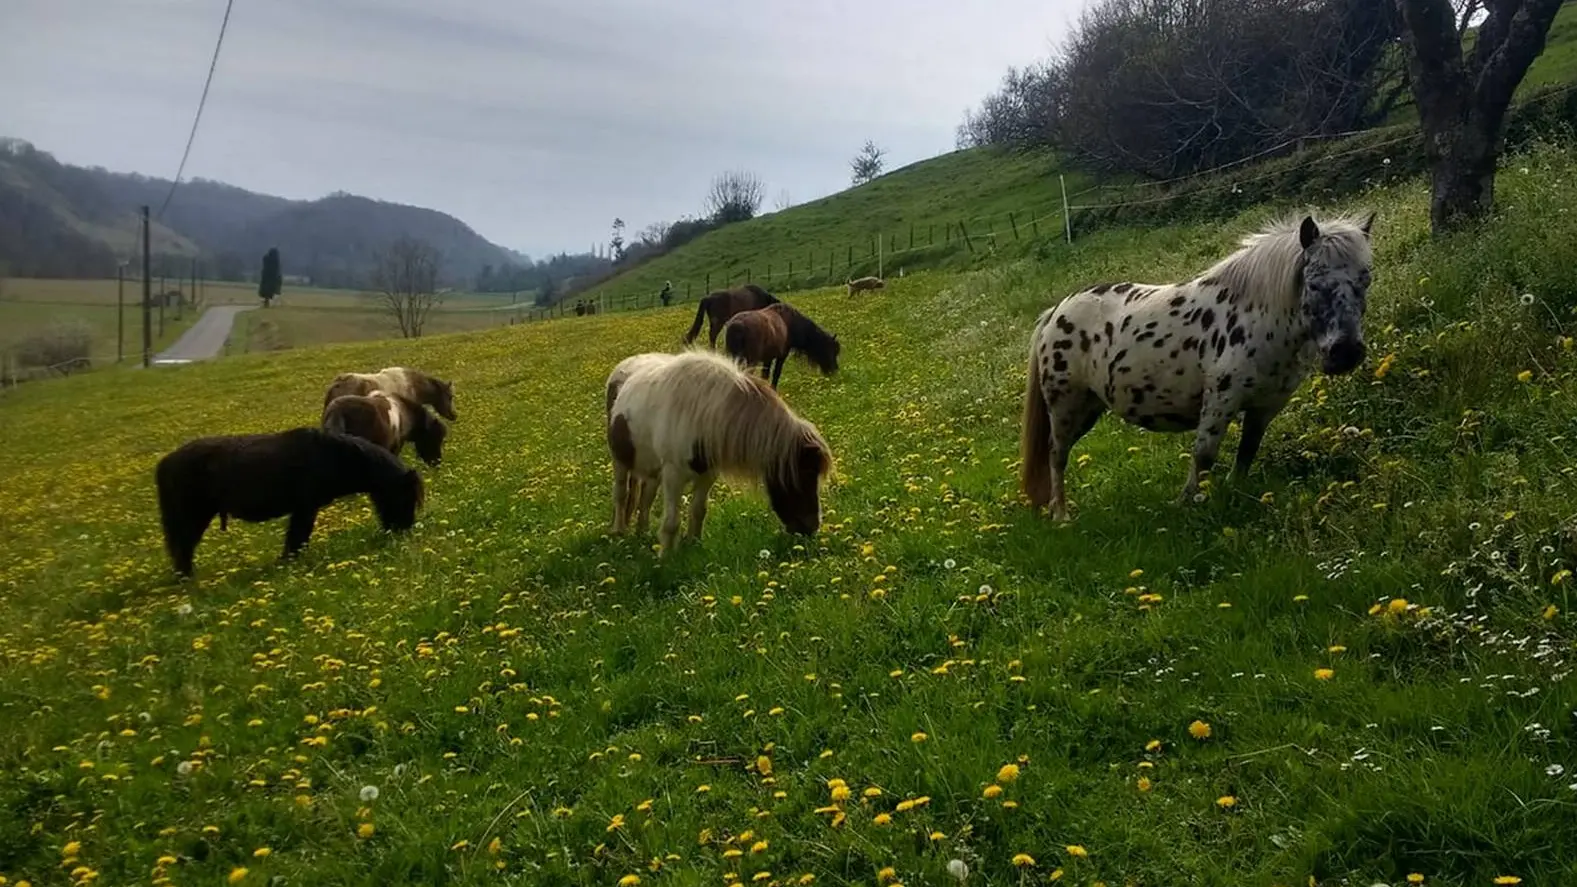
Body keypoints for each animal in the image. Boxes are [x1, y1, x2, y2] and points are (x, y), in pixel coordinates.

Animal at [155, 426, 425, 577]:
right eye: (405, 496)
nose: (403, 530)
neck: (336, 455)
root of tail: (164, 463)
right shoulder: (305, 508)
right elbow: (297, 538)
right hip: (192, 517)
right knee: (183, 547)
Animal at [599, 345, 832, 552]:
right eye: (805, 474)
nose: (811, 527)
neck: (704, 416)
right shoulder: (673, 475)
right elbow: (672, 521)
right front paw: (665, 558)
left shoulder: (707, 474)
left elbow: (698, 510)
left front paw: (693, 545)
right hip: (619, 461)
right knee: (621, 494)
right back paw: (619, 531)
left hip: (651, 469)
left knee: (645, 498)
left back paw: (642, 532)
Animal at [1015, 213, 1375, 517]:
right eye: (1313, 283)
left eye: (1366, 279)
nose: (1346, 353)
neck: (1259, 320)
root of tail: (1056, 312)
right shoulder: (1220, 400)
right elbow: (1204, 455)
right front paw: (1186, 504)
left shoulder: (1265, 407)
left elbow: (1247, 452)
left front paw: (1233, 495)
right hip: (1066, 407)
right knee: (1056, 456)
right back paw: (1061, 516)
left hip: (1089, 407)